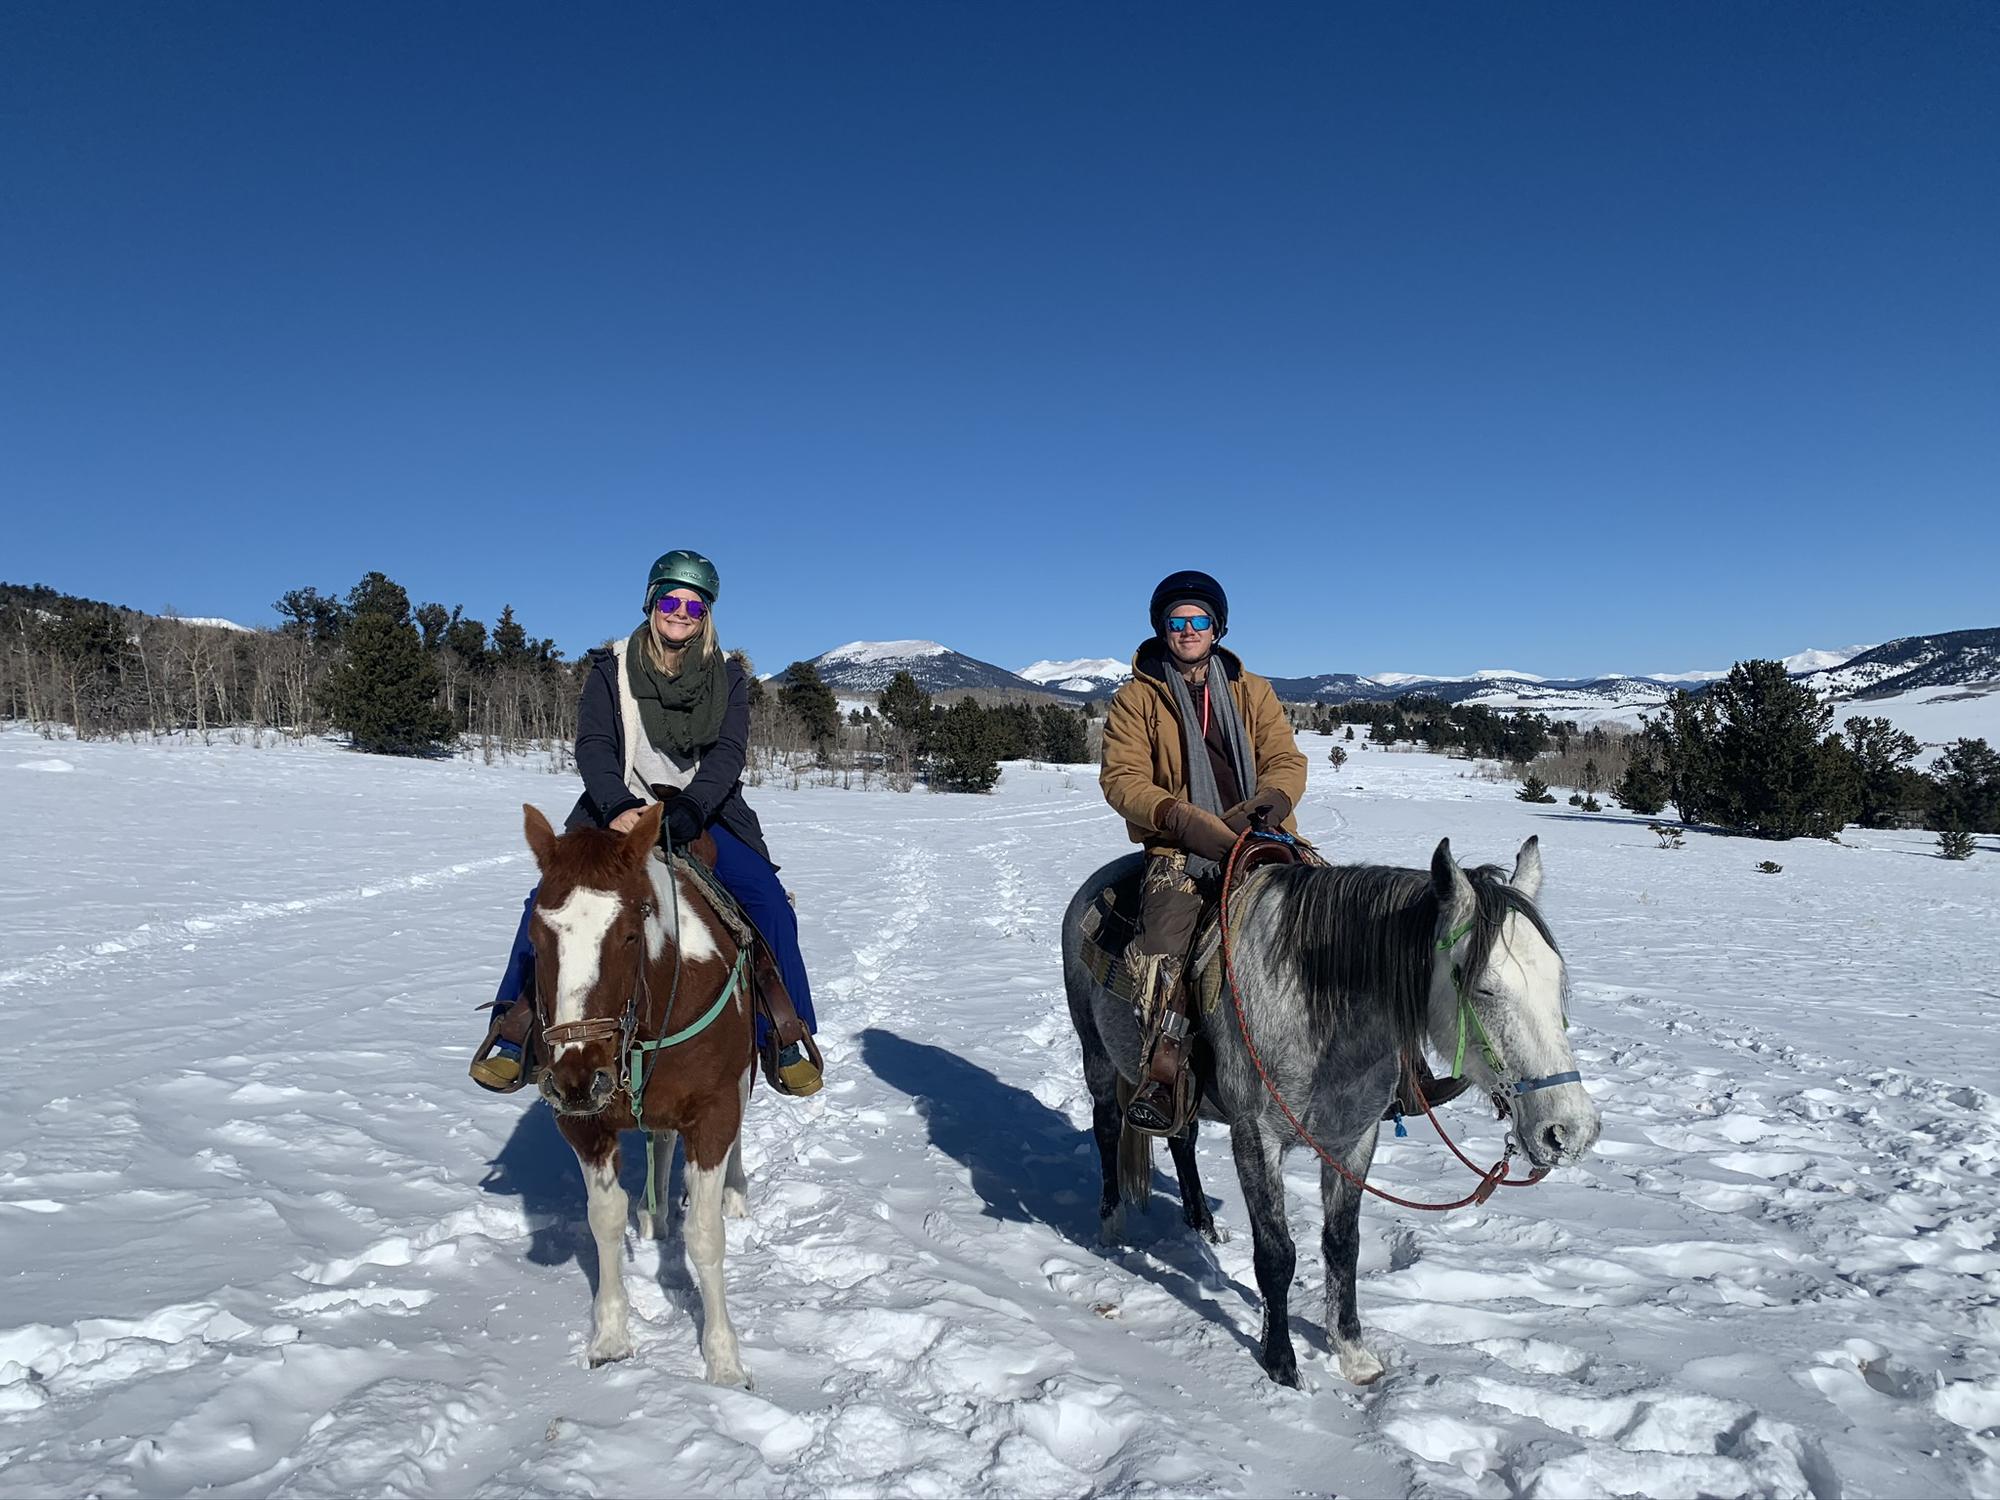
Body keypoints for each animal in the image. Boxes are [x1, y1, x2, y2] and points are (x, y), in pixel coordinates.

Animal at [524, 804, 756, 1392]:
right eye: (536, 937)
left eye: (629, 934)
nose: (577, 1078)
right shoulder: (583, 1126)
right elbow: (604, 1218)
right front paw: (610, 1340)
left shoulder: (715, 1112)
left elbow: (705, 1235)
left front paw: (725, 1362)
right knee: (661, 1138)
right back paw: (654, 1216)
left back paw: (735, 1193)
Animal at [1064, 836, 1608, 1384]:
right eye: (1485, 987)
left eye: (1555, 980)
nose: (1568, 1131)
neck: (1313, 1009)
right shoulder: (1256, 1136)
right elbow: (1277, 1253)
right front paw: (1282, 1365)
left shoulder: (1354, 1138)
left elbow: (1343, 1245)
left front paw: (1353, 1354)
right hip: (1098, 1059)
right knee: (1108, 1130)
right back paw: (1111, 1226)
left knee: (1182, 1136)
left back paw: (1204, 1228)